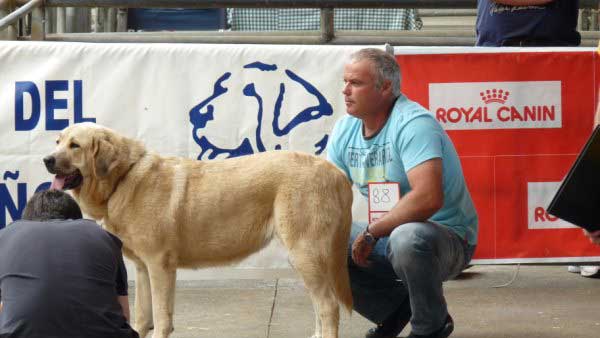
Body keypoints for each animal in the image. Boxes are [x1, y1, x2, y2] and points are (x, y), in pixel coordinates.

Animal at [44, 123, 354, 338]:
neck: (124, 177)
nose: (47, 159)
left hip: (306, 254)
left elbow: (161, 318)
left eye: (75, 145)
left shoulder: (160, 266)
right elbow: (142, 317)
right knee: (320, 306)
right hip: (307, 260)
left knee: (329, 306)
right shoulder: (143, 269)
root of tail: (336, 173)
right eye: (57, 142)